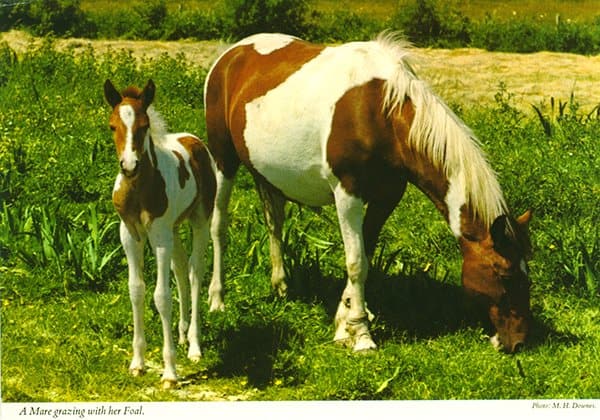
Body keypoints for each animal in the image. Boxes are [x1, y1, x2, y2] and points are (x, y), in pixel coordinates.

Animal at [104, 79, 216, 388]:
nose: (129, 166)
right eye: (112, 126)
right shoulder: (130, 235)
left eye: (144, 126)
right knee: (180, 269)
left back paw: (194, 346)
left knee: (194, 272)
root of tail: (194, 140)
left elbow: (161, 297)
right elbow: (136, 291)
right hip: (173, 230)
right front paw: (137, 363)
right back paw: (182, 333)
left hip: (198, 221)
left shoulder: (160, 237)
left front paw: (170, 372)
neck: (140, 188)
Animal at [203, 33, 532, 354]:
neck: (381, 111)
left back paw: (281, 287)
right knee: (218, 227)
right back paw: (217, 300)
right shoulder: (348, 194)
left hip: (268, 176)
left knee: (274, 225)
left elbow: (366, 256)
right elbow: (355, 261)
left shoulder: (386, 197)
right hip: (223, 160)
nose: (517, 341)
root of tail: (230, 54)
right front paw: (361, 335)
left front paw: (343, 324)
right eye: (504, 274)